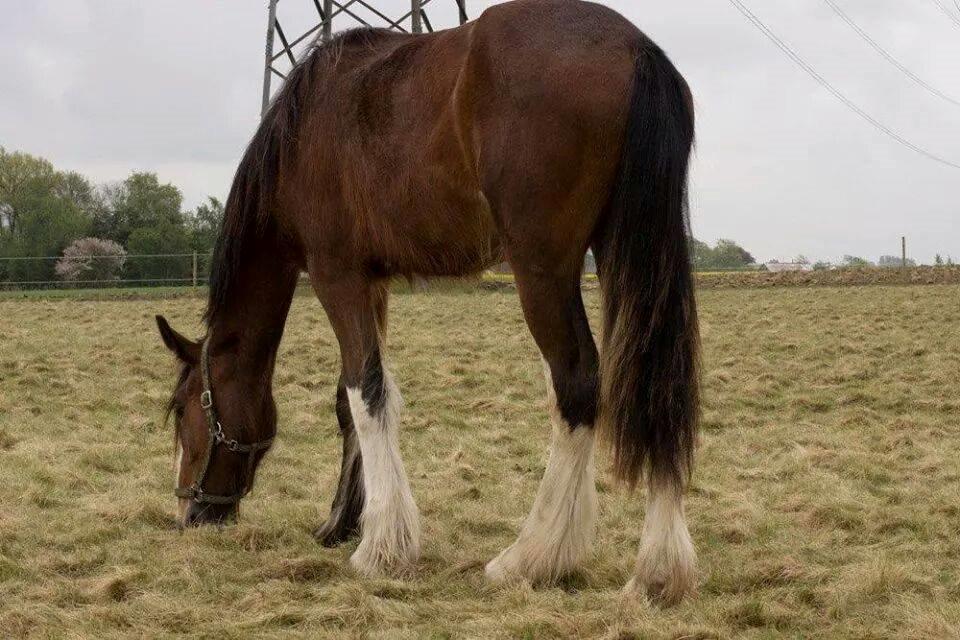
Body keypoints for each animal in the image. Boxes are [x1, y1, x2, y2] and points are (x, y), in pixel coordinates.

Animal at [156, 0, 696, 604]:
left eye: (183, 410)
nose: (190, 513)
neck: (302, 131)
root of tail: (633, 47)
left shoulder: (337, 275)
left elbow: (365, 392)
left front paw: (381, 547)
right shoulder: (374, 283)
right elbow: (350, 401)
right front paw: (343, 523)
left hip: (543, 269)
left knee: (576, 386)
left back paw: (532, 557)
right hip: (630, 253)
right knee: (660, 394)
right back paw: (656, 571)